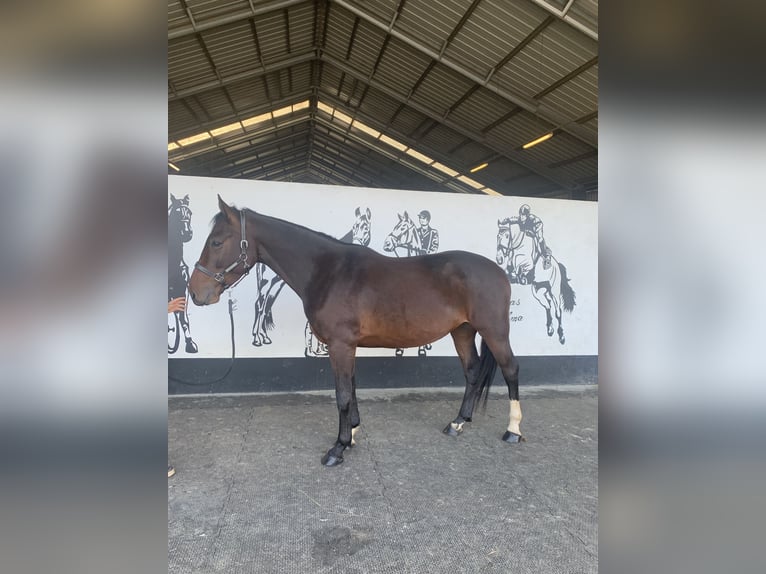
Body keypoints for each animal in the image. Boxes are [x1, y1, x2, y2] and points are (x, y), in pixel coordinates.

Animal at [189, 196, 524, 467]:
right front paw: (352, 433)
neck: (329, 272)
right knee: (472, 371)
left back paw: (513, 430)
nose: (194, 292)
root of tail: (499, 271)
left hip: (494, 331)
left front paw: (337, 448)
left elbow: (342, 394)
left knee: (510, 369)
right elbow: (351, 387)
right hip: (462, 331)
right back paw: (458, 423)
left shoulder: (339, 345)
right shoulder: (347, 346)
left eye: (216, 242)